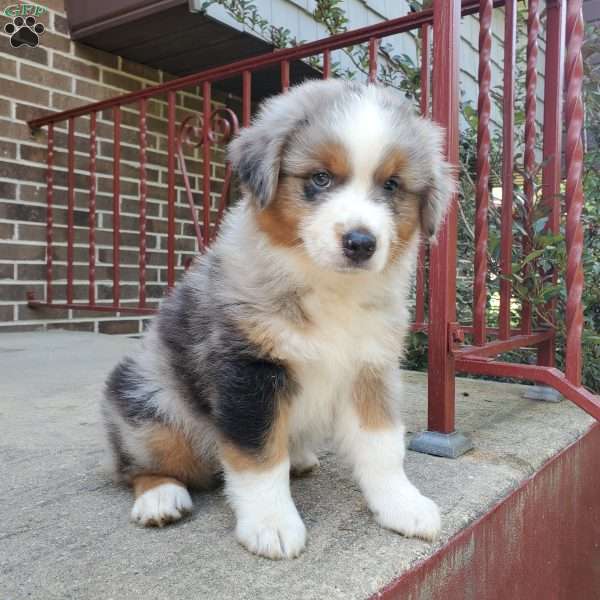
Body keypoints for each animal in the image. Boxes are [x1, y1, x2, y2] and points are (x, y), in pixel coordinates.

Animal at [103, 78, 452, 556]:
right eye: (320, 178)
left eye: (393, 185)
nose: (361, 243)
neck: (327, 286)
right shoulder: (249, 370)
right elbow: (258, 457)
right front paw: (272, 525)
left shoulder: (371, 367)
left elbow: (382, 446)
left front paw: (404, 505)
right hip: (153, 401)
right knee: (136, 462)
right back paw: (160, 497)